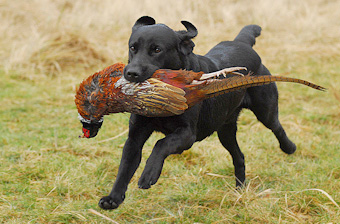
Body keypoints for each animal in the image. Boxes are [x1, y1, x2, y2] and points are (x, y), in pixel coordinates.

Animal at [97, 16, 294, 210]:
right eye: (133, 48)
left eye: (157, 49)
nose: (131, 73)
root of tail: (241, 43)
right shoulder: (135, 136)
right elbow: (125, 168)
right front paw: (113, 199)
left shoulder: (187, 134)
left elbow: (161, 144)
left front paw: (149, 175)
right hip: (225, 130)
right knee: (239, 157)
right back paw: (239, 191)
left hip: (265, 111)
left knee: (277, 127)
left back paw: (289, 147)